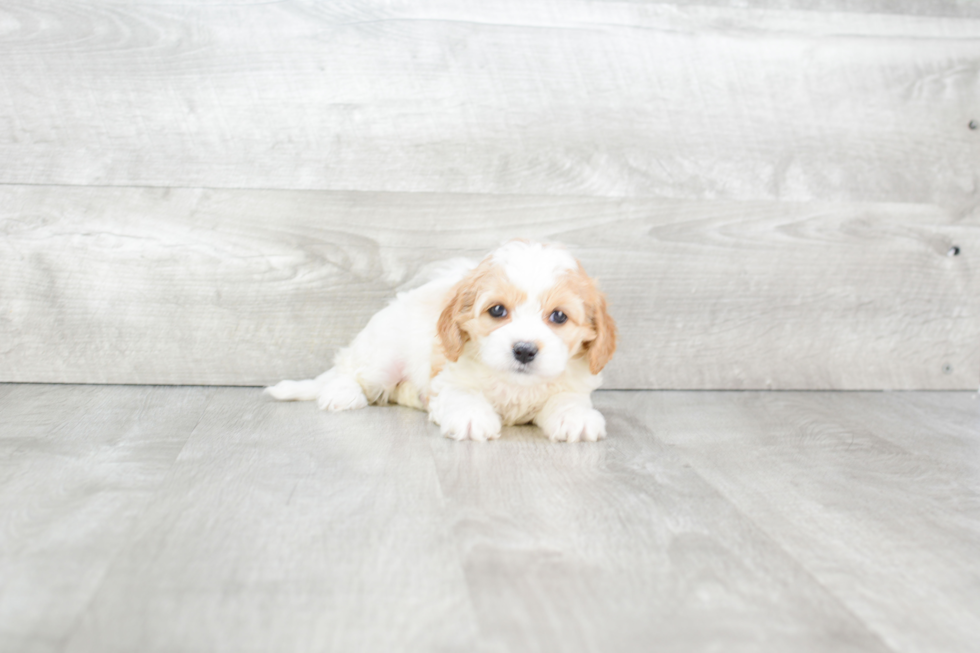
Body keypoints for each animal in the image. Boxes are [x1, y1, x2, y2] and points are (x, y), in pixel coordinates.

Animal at [266, 241, 620, 444]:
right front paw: (471, 418)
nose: (524, 350)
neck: (515, 385)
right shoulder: (449, 376)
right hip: (381, 359)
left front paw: (575, 419)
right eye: (497, 310)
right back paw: (341, 393)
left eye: (559, 317)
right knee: (348, 371)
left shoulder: (572, 383)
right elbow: (462, 395)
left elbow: (567, 400)